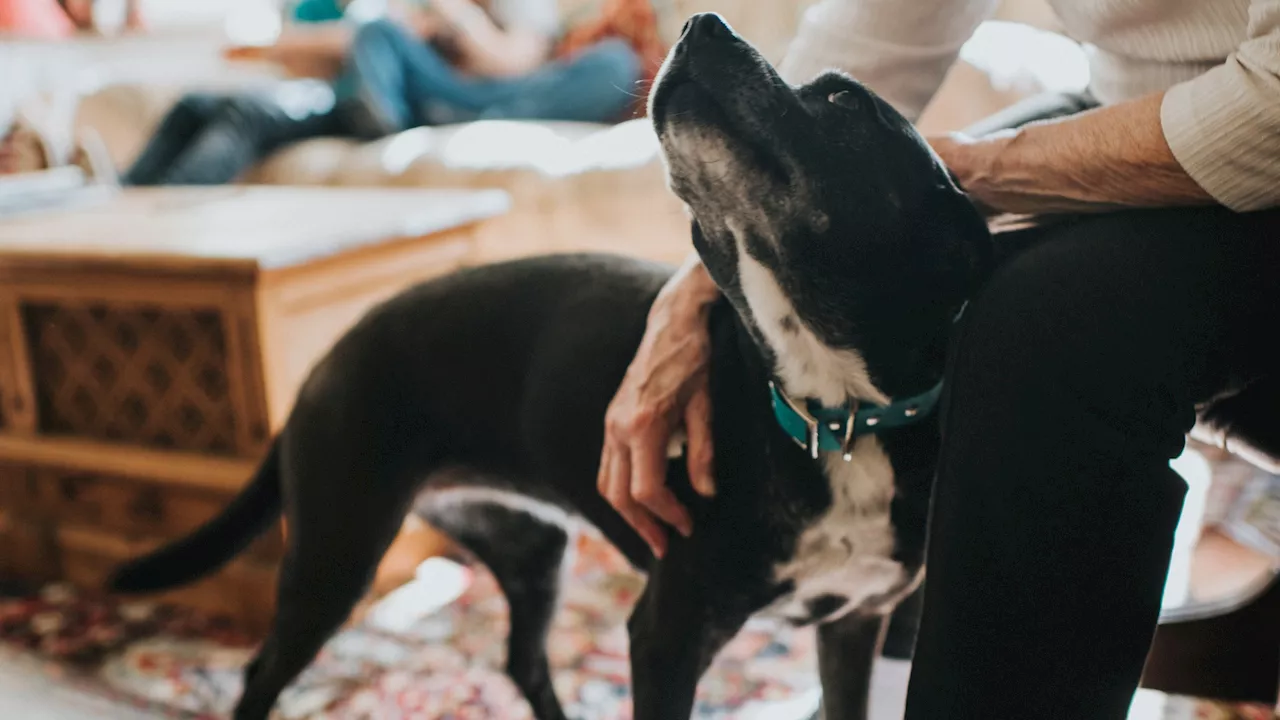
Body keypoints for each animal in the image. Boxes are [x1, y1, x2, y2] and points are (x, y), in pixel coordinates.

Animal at [110, 12, 988, 717]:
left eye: (844, 101)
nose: (700, 23)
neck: (836, 410)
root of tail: (336, 345)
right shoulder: (667, 633)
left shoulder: (854, 624)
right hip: (336, 550)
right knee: (260, 671)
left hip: (528, 550)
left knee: (520, 659)